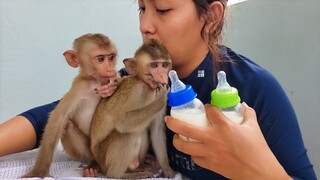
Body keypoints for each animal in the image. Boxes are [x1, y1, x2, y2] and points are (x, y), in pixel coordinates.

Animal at [23, 32, 119, 177]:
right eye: (101, 59)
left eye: (111, 57)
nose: (110, 69)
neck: (95, 81)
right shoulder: (79, 88)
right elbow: (59, 119)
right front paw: (39, 171)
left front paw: (112, 86)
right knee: (68, 126)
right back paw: (93, 164)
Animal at [89, 39, 175, 179]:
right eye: (154, 65)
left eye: (164, 65)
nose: (163, 76)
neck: (147, 87)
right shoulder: (134, 91)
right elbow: (122, 123)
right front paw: (160, 99)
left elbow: (156, 130)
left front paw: (167, 169)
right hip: (104, 161)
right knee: (124, 134)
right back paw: (121, 175)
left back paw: (141, 167)